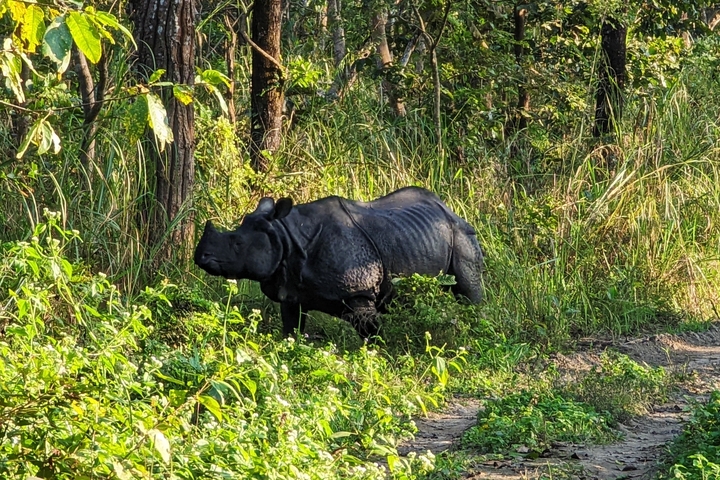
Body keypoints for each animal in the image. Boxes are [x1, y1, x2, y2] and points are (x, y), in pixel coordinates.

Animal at [194, 187, 484, 339]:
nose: (200, 257)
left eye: (237, 244)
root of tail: (449, 208)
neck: (285, 236)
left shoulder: (359, 292)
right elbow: (292, 329)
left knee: (468, 288)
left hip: (462, 233)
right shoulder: (291, 290)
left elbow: (370, 333)